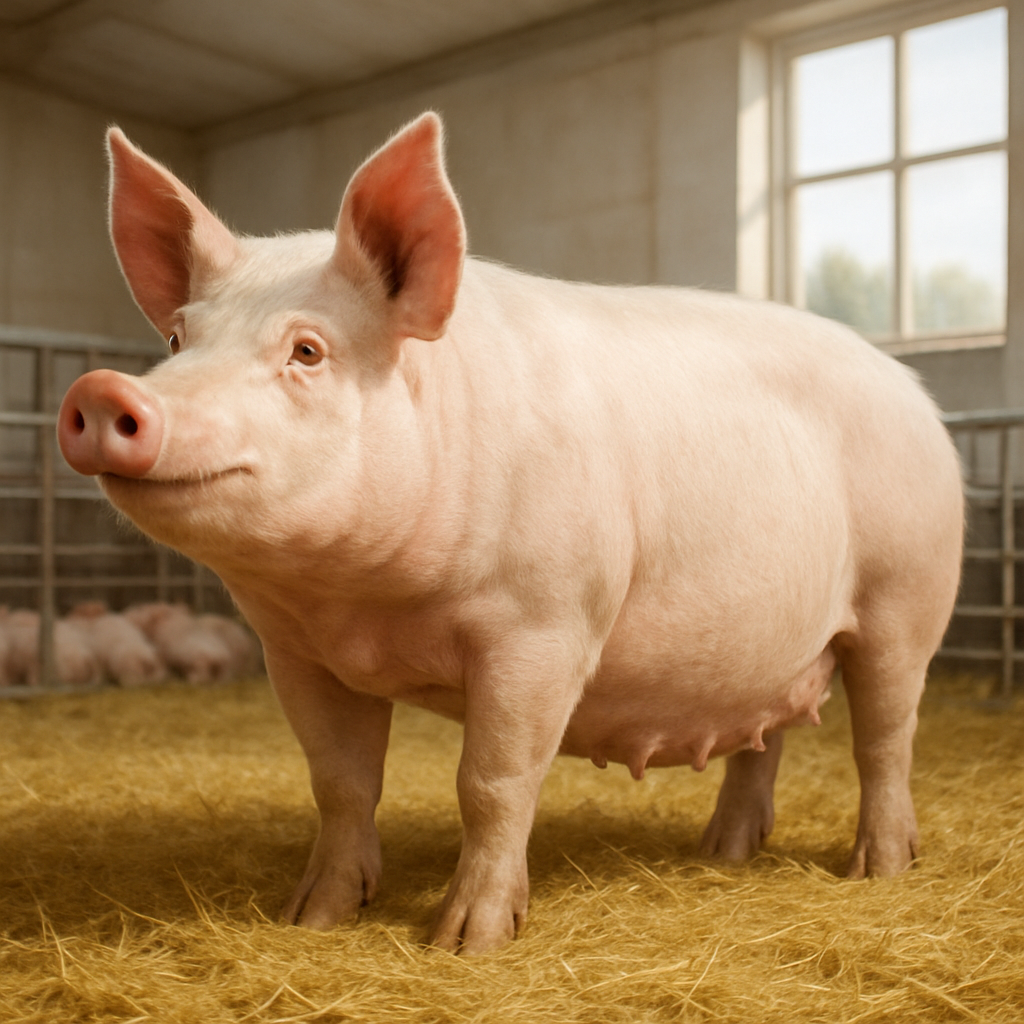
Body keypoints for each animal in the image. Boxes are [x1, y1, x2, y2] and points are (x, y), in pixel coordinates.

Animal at [55, 113, 963, 954]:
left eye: (307, 351)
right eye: (179, 339)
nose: (102, 391)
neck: (362, 608)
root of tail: (918, 395)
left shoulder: (543, 624)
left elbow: (492, 782)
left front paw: (466, 942)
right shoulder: (297, 652)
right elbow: (341, 781)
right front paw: (311, 919)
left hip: (907, 597)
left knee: (887, 737)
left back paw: (879, 869)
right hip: (769, 647)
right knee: (761, 738)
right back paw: (723, 854)